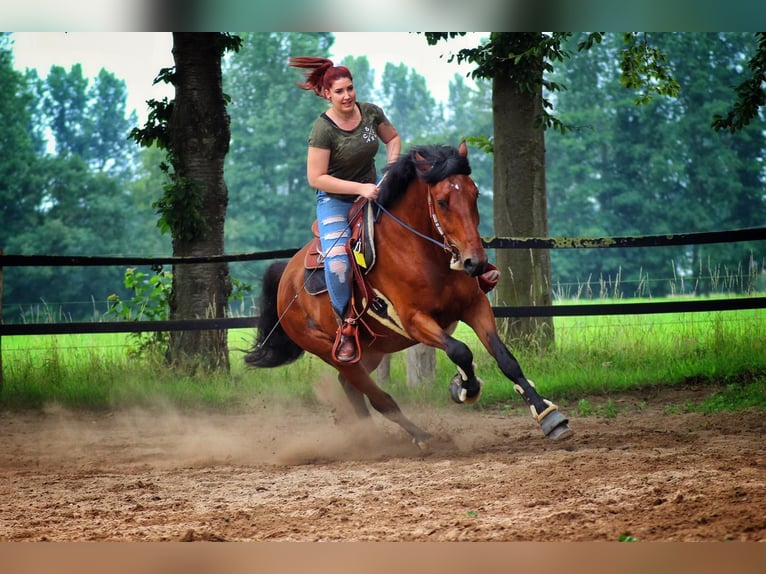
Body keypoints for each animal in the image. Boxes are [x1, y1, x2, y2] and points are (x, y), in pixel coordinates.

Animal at [249, 142, 572, 448]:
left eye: (475, 194)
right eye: (442, 201)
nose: (475, 262)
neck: (422, 251)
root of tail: (286, 279)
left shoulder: (474, 305)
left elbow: (506, 359)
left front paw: (549, 416)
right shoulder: (415, 320)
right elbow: (460, 351)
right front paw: (463, 387)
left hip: (373, 351)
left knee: (352, 387)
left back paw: (370, 439)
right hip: (334, 353)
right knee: (377, 397)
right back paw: (419, 436)